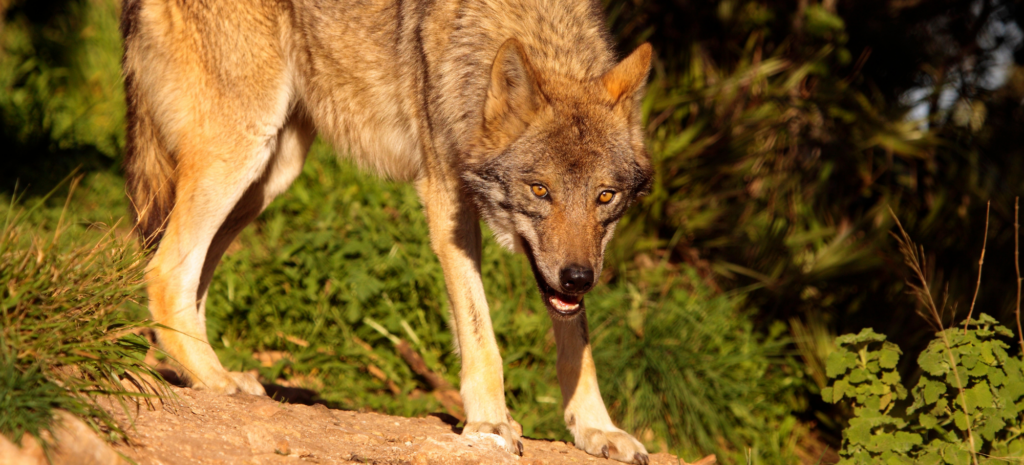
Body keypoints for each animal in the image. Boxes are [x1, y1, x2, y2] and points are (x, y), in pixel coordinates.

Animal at [121, 0, 654, 462]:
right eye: (540, 190)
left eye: (605, 197)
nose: (578, 279)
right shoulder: (446, 201)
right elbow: (480, 333)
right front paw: (490, 421)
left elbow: (577, 343)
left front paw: (597, 428)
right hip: (241, 148)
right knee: (165, 271)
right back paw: (216, 379)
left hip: (271, 173)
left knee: (193, 277)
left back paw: (206, 373)